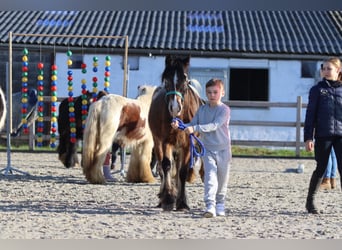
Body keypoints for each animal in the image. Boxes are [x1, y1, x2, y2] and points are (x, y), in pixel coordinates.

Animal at [148, 54, 204, 211]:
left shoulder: (187, 144)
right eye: (166, 79)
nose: (174, 107)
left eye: (185, 79)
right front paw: (168, 198)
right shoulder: (165, 141)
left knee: (178, 169)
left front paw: (183, 202)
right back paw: (163, 197)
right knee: (162, 168)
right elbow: (166, 165)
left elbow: (182, 172)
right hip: (158, 143)